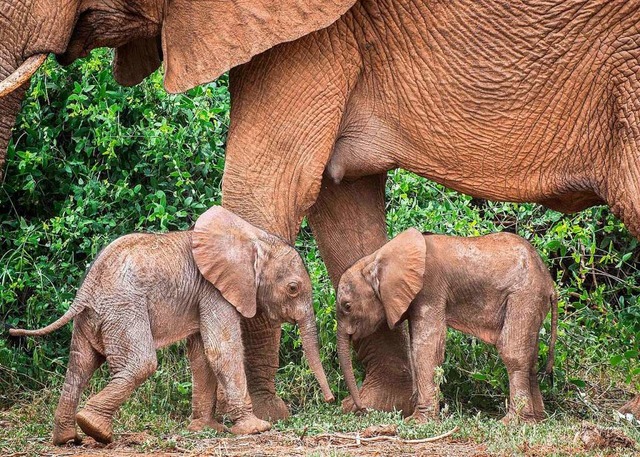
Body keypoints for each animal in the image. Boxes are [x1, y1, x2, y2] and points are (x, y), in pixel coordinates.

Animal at [10, 205, 336, 444]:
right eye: (293, 288)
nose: (331, 399)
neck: (252, 238)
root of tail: (86, 288)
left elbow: (202, 356)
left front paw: (206, 429)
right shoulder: (214, 290)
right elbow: (222, 350)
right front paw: (256, 428)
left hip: (94, 316)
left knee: (80, 365)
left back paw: (67, 438)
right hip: (123, 309)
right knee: (140, 363)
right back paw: (95, 430)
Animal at [338, 230, 556, 422]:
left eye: (347, 306)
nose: (361, 409)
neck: (377, 258)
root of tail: (550, 282)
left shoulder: (429, 288)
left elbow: (425, 348)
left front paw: (418, 421)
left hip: (525, 295)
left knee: (512, 352)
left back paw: (512, 422)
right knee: (531, 357)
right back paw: (536, 420)